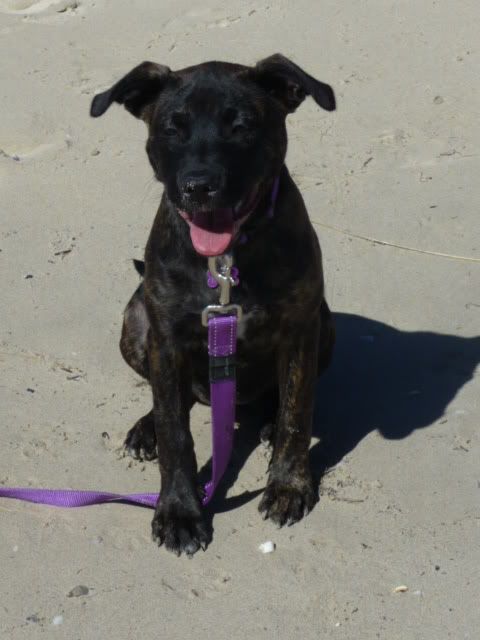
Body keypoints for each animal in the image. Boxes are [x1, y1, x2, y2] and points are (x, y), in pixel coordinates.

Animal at [92, 55, 336, 556]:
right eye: (172, 127)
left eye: (241, 127)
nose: (199, 186)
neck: (225, 261)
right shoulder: (165, 340)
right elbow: (175, 431)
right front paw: (179, 510)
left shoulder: (301, 331)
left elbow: (297, 415)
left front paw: (288, 486)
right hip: (135, 320)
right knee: (172, 399)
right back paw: (145, 427)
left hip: (326, 324)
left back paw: (266, 421)